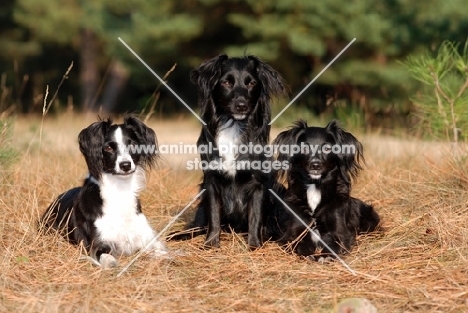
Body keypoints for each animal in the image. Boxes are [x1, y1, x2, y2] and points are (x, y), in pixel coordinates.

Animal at [41, 116, 167, 266]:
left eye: (132, 145)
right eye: (108, 148)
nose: (125, 165)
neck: (120, 189)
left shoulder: (145, 237)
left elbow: (160, 250)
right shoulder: (98, 243)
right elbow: (106, 257)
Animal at [170, 54, 288, 249]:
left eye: (251, 83)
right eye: (226, 82)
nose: (241, 105)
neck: (233, 126)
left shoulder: (258, 183)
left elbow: (255, 217)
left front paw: (254, 246)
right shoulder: (210, 181)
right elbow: (214, 216)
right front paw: (210, 244)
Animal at [268, 119, 382, 258]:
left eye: (327, 148)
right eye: (304, 148)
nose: (315, 165)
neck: (315, 186)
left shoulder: (340, 233)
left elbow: (333, 246)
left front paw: (323, 257)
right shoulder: (294, 233)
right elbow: (300, 246)